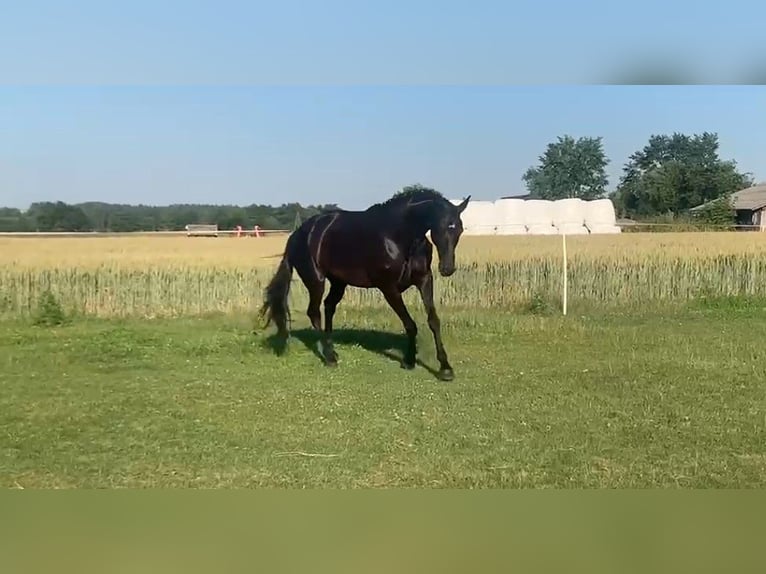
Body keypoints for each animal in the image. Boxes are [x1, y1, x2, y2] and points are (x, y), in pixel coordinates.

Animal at [259, 187, 470, 381]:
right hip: (315, 281)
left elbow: (433, 321)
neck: (398, 237)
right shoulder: (388, 288)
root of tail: (297, 234)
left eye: (460, 229)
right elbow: (410, 324)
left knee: (329, 306)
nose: (447, 268)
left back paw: (333, 351)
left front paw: (445, 369)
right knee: (314, 312)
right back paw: (329, 358)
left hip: (338, 283)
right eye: (441, 227)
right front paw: (409, 361)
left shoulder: (425, 280)